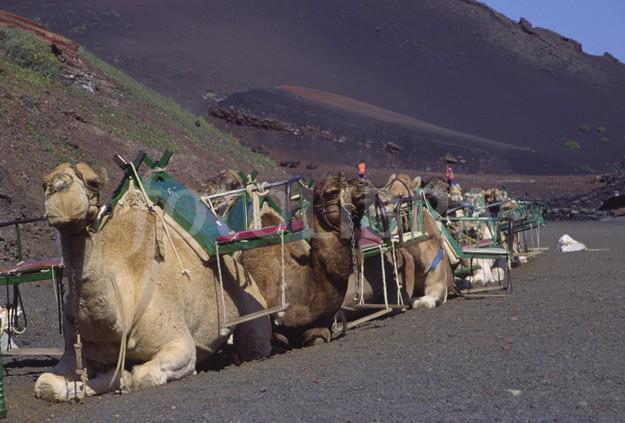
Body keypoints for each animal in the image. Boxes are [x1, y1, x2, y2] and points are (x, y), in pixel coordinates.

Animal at [35, 163, 270, 404]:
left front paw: (124, 378)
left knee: (254, 343)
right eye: (44, 184)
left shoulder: (180, 343)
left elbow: (144, 376)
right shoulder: (73, 353)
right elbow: (46, 383)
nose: (61, 190)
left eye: (93, 182)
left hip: (250, 298)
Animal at [235, 175, 364, 348]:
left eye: (348, 182)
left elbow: (319, 337)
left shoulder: (321, 323)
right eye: (331, 191)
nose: (362, 188)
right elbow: (280, 341)